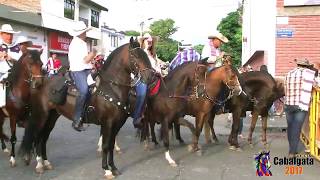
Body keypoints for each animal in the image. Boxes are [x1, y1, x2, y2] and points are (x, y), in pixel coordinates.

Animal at [19, 37, 155, 178]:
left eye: (146, 55)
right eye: (136, 56)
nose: (151, 76)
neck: (112, 87)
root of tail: (39, 82)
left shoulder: (117, 123)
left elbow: (111, 145)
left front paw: (113, 168)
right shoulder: (108, 123)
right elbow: (106, 145)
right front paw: (106, 170)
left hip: (52, 116)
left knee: (43, 138)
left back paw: (45, 162)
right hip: (41, 115)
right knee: (37, 136)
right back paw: (39, 164)